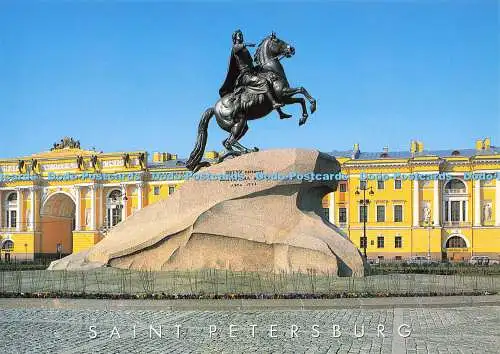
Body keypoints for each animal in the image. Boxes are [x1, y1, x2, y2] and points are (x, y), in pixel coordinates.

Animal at [186, 33, 318, 171]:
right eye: (278, 41)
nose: (291, 49)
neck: (272, 71)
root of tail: (214, 108)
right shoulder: (283, 94)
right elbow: (302, 90)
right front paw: (313, 106)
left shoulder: (286, 98)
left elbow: (301, 99)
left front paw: (302, 118)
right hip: (238, 123)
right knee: (229, 142)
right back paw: (245, 151)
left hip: (242, 126)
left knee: (227, 142)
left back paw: (238, 153)